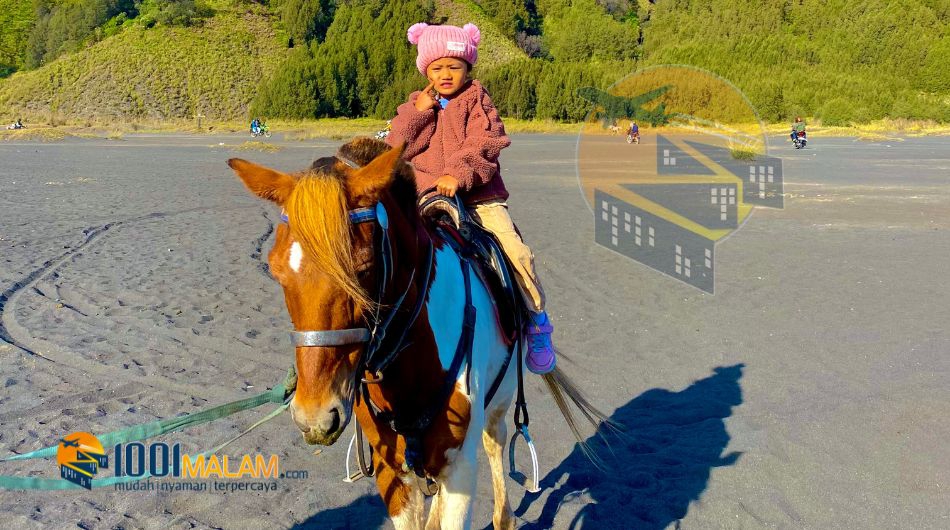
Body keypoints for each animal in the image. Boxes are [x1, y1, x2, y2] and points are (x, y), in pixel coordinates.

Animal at [230, 138, 604, 524]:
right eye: (276, 269)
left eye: (363, 268)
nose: (314, 417)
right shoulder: (391, 470)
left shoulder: (459, 468)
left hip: (499, 405)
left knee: (495, 445)